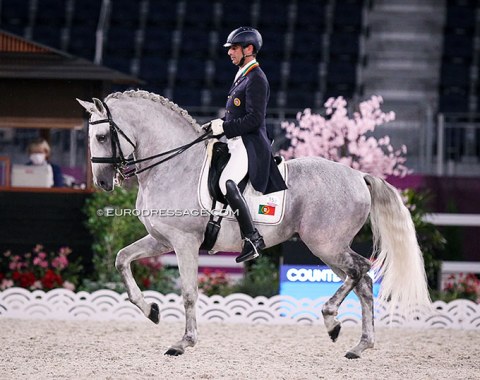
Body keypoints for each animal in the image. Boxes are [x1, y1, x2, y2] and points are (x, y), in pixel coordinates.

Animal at [78, 90, 432, 358]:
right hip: (330, 249)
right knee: (363, 282)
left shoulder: (184, 242)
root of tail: (358, 175)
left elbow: (189, 292)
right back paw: (359, 346)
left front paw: (183, 342)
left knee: (361, 270)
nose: (103, 182)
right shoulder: (161, 240)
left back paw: (332, 320)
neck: (174, 165)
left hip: (326, 245)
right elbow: (121, 259)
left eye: (101, 136)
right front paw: (150, 310)